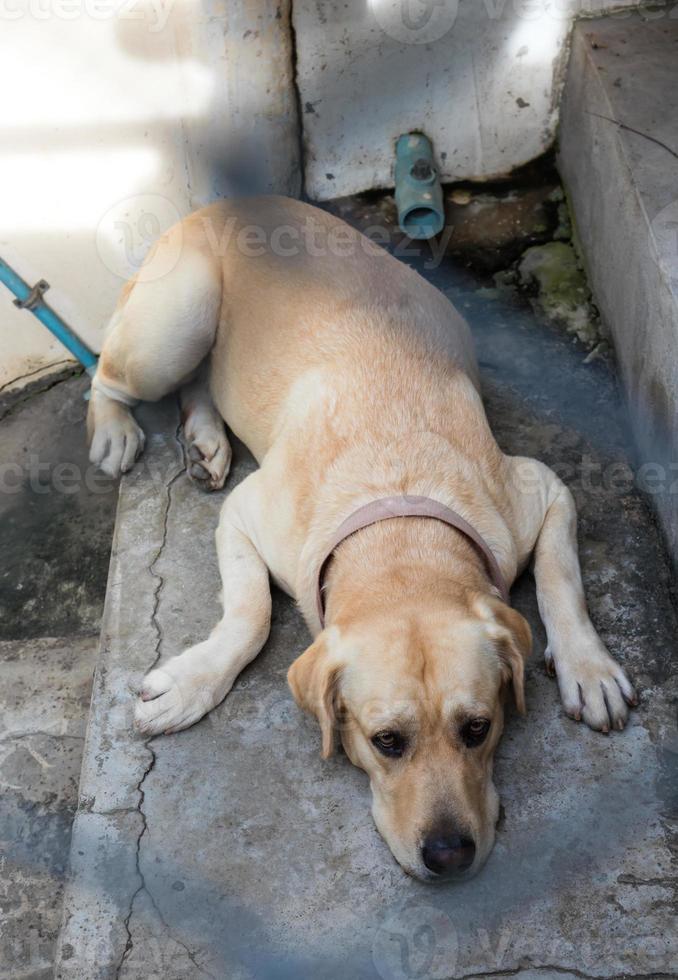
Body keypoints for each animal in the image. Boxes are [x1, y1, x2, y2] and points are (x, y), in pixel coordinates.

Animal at [89, 195, 636, 884]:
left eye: (478, 728)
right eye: (387, 742)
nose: (450, 856)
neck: (398, 529)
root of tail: (223, 202)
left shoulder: (544, 492)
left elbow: (562, 580)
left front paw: (588, 668)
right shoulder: (245, 515)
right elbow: (251, 614)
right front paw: (193, 682)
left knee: (198, 383)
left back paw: (207, 438)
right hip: (173, 326)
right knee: (108, 378)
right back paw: (117, 430)